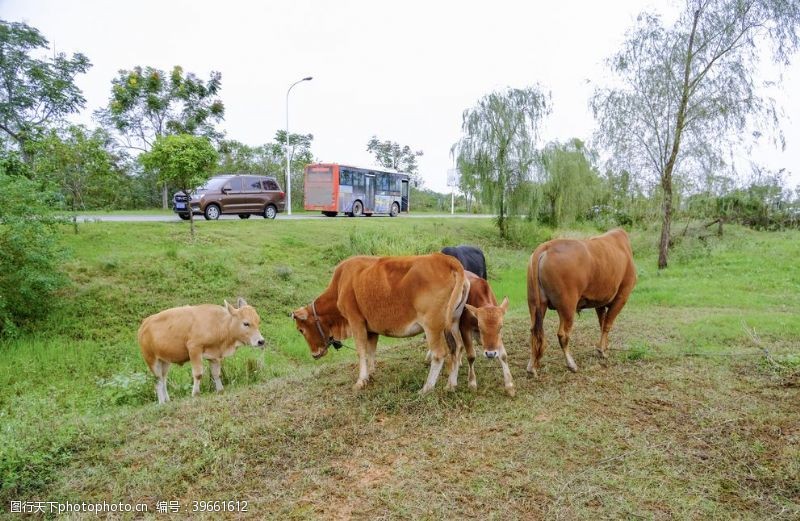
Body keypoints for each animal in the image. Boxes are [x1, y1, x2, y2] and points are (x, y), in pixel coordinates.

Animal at [136, 296, 264, 402]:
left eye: (258, 321)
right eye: (246, 323)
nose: (261, 341)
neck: (219, 325)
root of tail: (145, 323)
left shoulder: (215, 356)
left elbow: (217, 374)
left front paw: (220, 390)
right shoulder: (194, 349)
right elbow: (198, 374)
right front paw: (195, 393)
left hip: (165, 361)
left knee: (163, 379)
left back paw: (167, 400)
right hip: (151, 359)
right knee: (158, 380)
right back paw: (162, 402)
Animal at [292, 254, 468, 392]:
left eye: (300, 330)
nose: (314, 354)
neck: (340, 284)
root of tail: (446, 259)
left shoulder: (356, 321)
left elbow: (361, 351)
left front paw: (360, 381)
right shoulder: (371, 329)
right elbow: (371, 351)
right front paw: (370, 373)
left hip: (432, 326)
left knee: (439, 354)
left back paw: (427, 388)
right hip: (453, 323)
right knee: (457, 348)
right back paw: (451, 385)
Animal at [524, 230, 636, 376]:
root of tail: (545, 247)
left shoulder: (599, 302)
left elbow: (602, 323)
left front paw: (603, 347)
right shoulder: (622, 297)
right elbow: (607, 324)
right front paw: (602, 351)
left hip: (535, 303)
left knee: (534, 332)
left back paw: (531, 367)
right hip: (567, 305)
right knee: (563, 335)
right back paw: (571, 364)